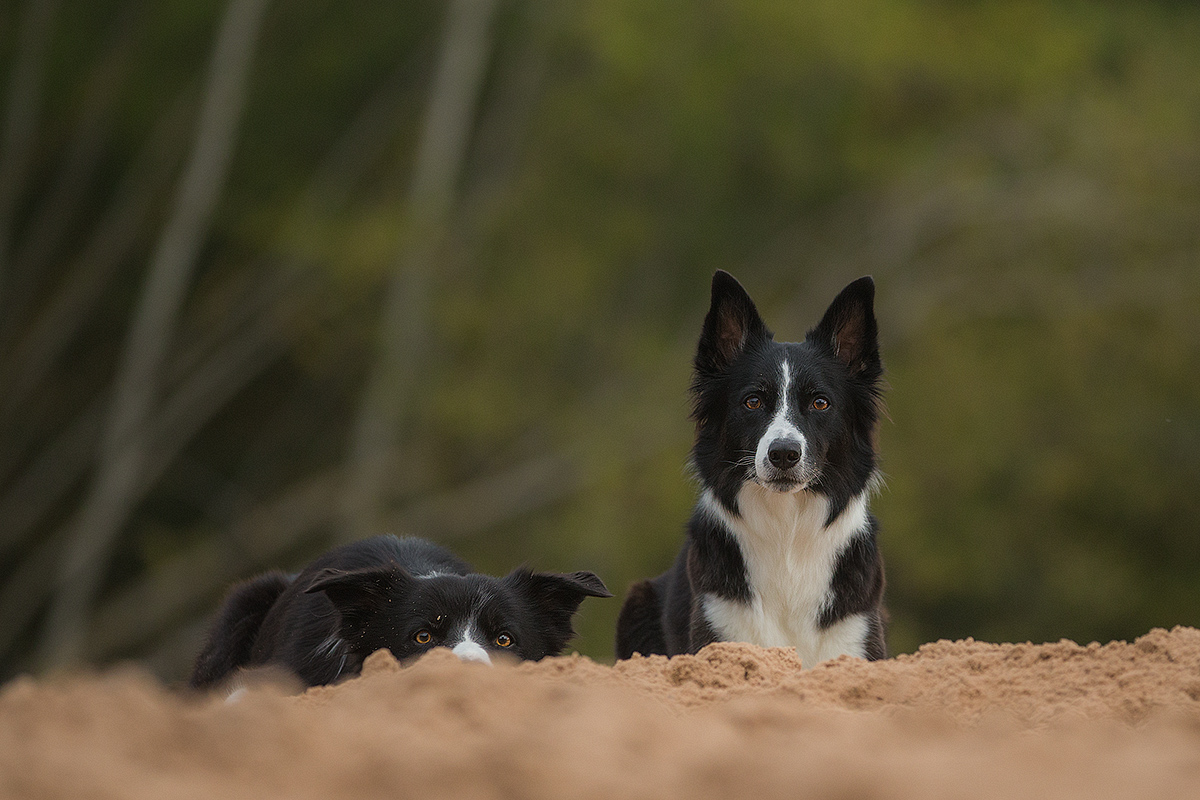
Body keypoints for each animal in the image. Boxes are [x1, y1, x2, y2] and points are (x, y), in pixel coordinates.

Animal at [614, 272, 888, 666]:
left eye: (820, 403)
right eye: (753, 401)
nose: (784, 454)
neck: (786, 536)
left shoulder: (854, 636)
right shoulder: (721, 629)